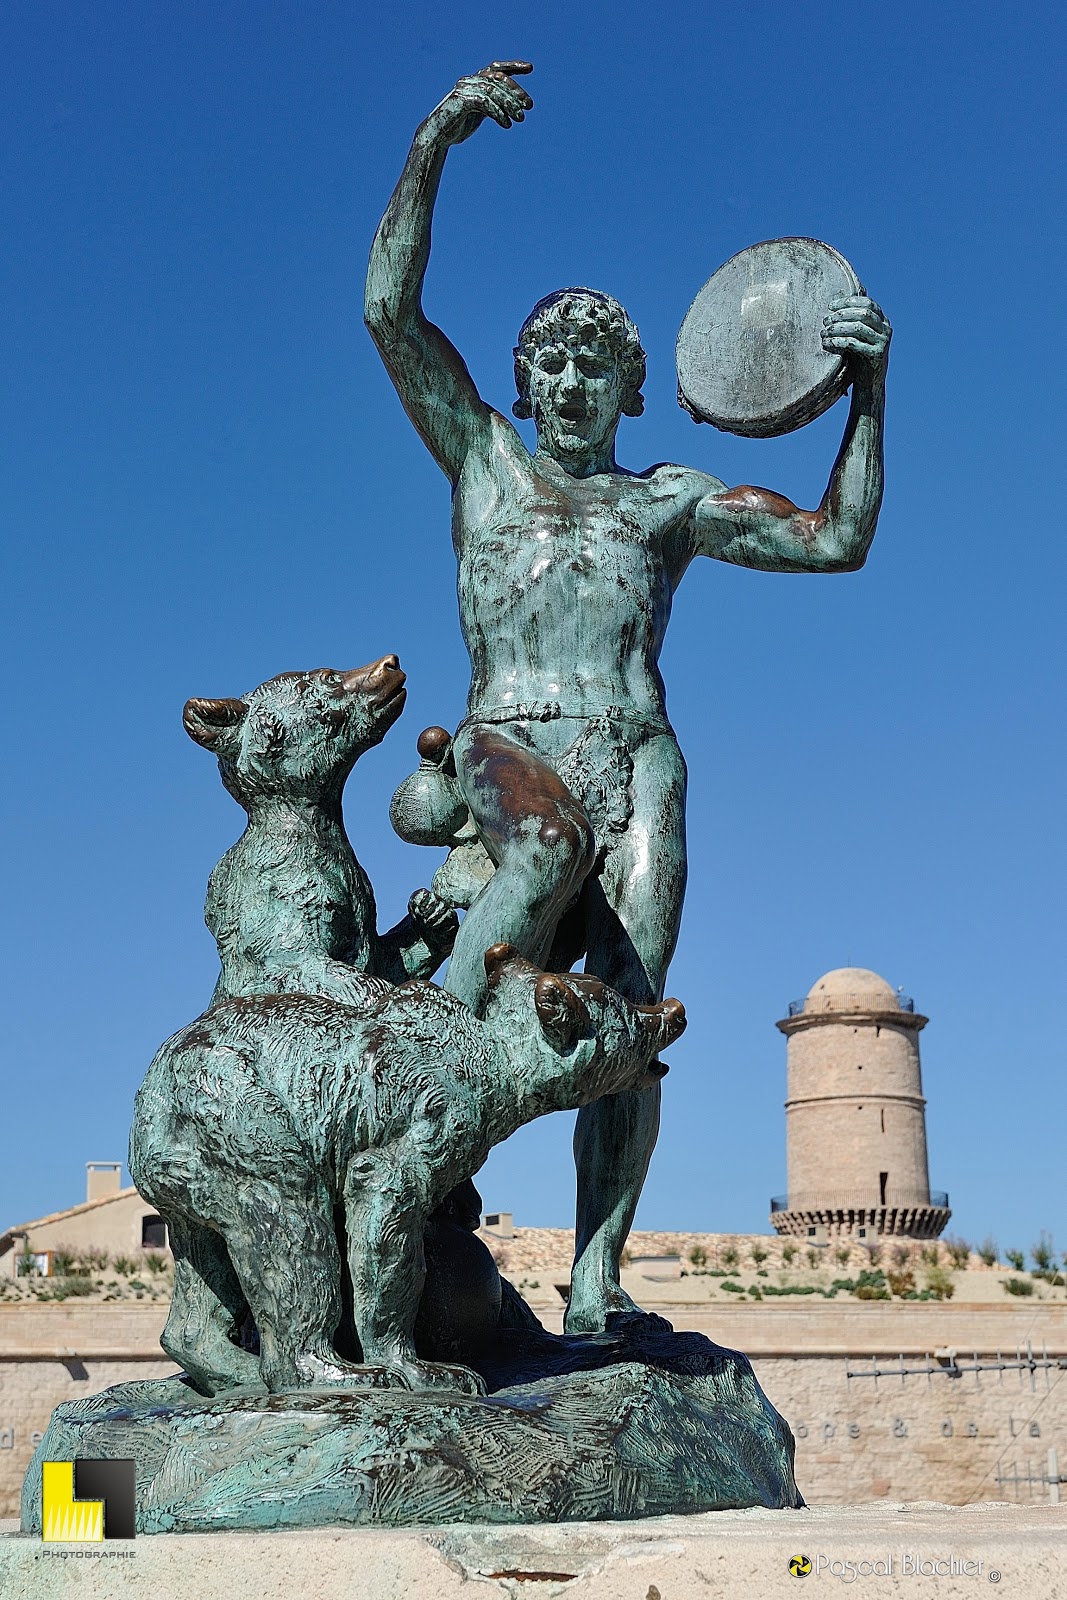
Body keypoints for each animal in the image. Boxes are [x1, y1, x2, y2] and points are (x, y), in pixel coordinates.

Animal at [129, 947, 687, 1401]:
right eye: (627, 1008)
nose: (674, 1008)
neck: (494, 1069)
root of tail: (147, 1098)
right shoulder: (426, 1119)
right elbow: (386, 1225)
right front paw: (424, 1368)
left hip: (191, 1170)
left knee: (205, 1263)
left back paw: (234, 1370)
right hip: (237, 1112)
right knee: (289, 1225)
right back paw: (332, 1372)